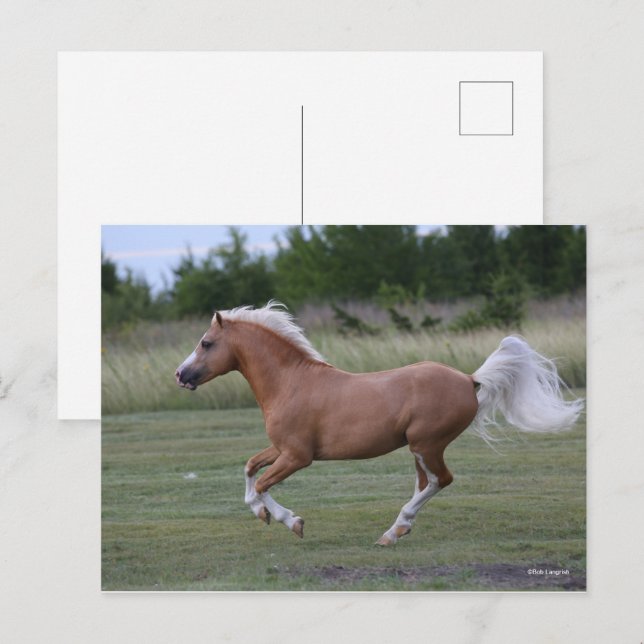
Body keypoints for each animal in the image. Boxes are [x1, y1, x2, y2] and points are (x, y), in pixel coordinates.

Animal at [175, 301, 583, 546]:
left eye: (206, 343)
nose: (180, 375)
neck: (291, 382)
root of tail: (470, 379)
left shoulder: (297, 456)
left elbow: (261, 483)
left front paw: (290, 521)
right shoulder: (281, 448)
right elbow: (249, 468)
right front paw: (261, 513)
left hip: (427, 444)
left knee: (441, 480)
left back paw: (392, 532)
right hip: (419, 449)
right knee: (427, 483)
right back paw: (397, 530)